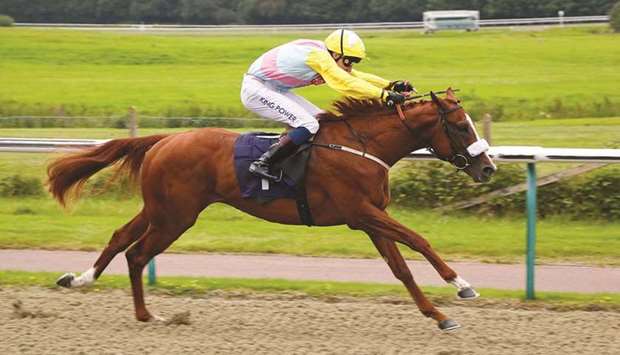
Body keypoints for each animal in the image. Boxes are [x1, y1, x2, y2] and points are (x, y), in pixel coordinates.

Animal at [47, 88, 494, 330]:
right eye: (460, 126)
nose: (488, 167)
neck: (363, 146)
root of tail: (164, 140)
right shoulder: (361, 212)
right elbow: (420, 240)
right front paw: (462, 284)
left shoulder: (369, 220)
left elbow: (401, 269)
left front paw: (438, 315)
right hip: (176, 216)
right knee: (138, 253)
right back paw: (147, 316)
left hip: (161, 209)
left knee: (121, 238)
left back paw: (81, 280)